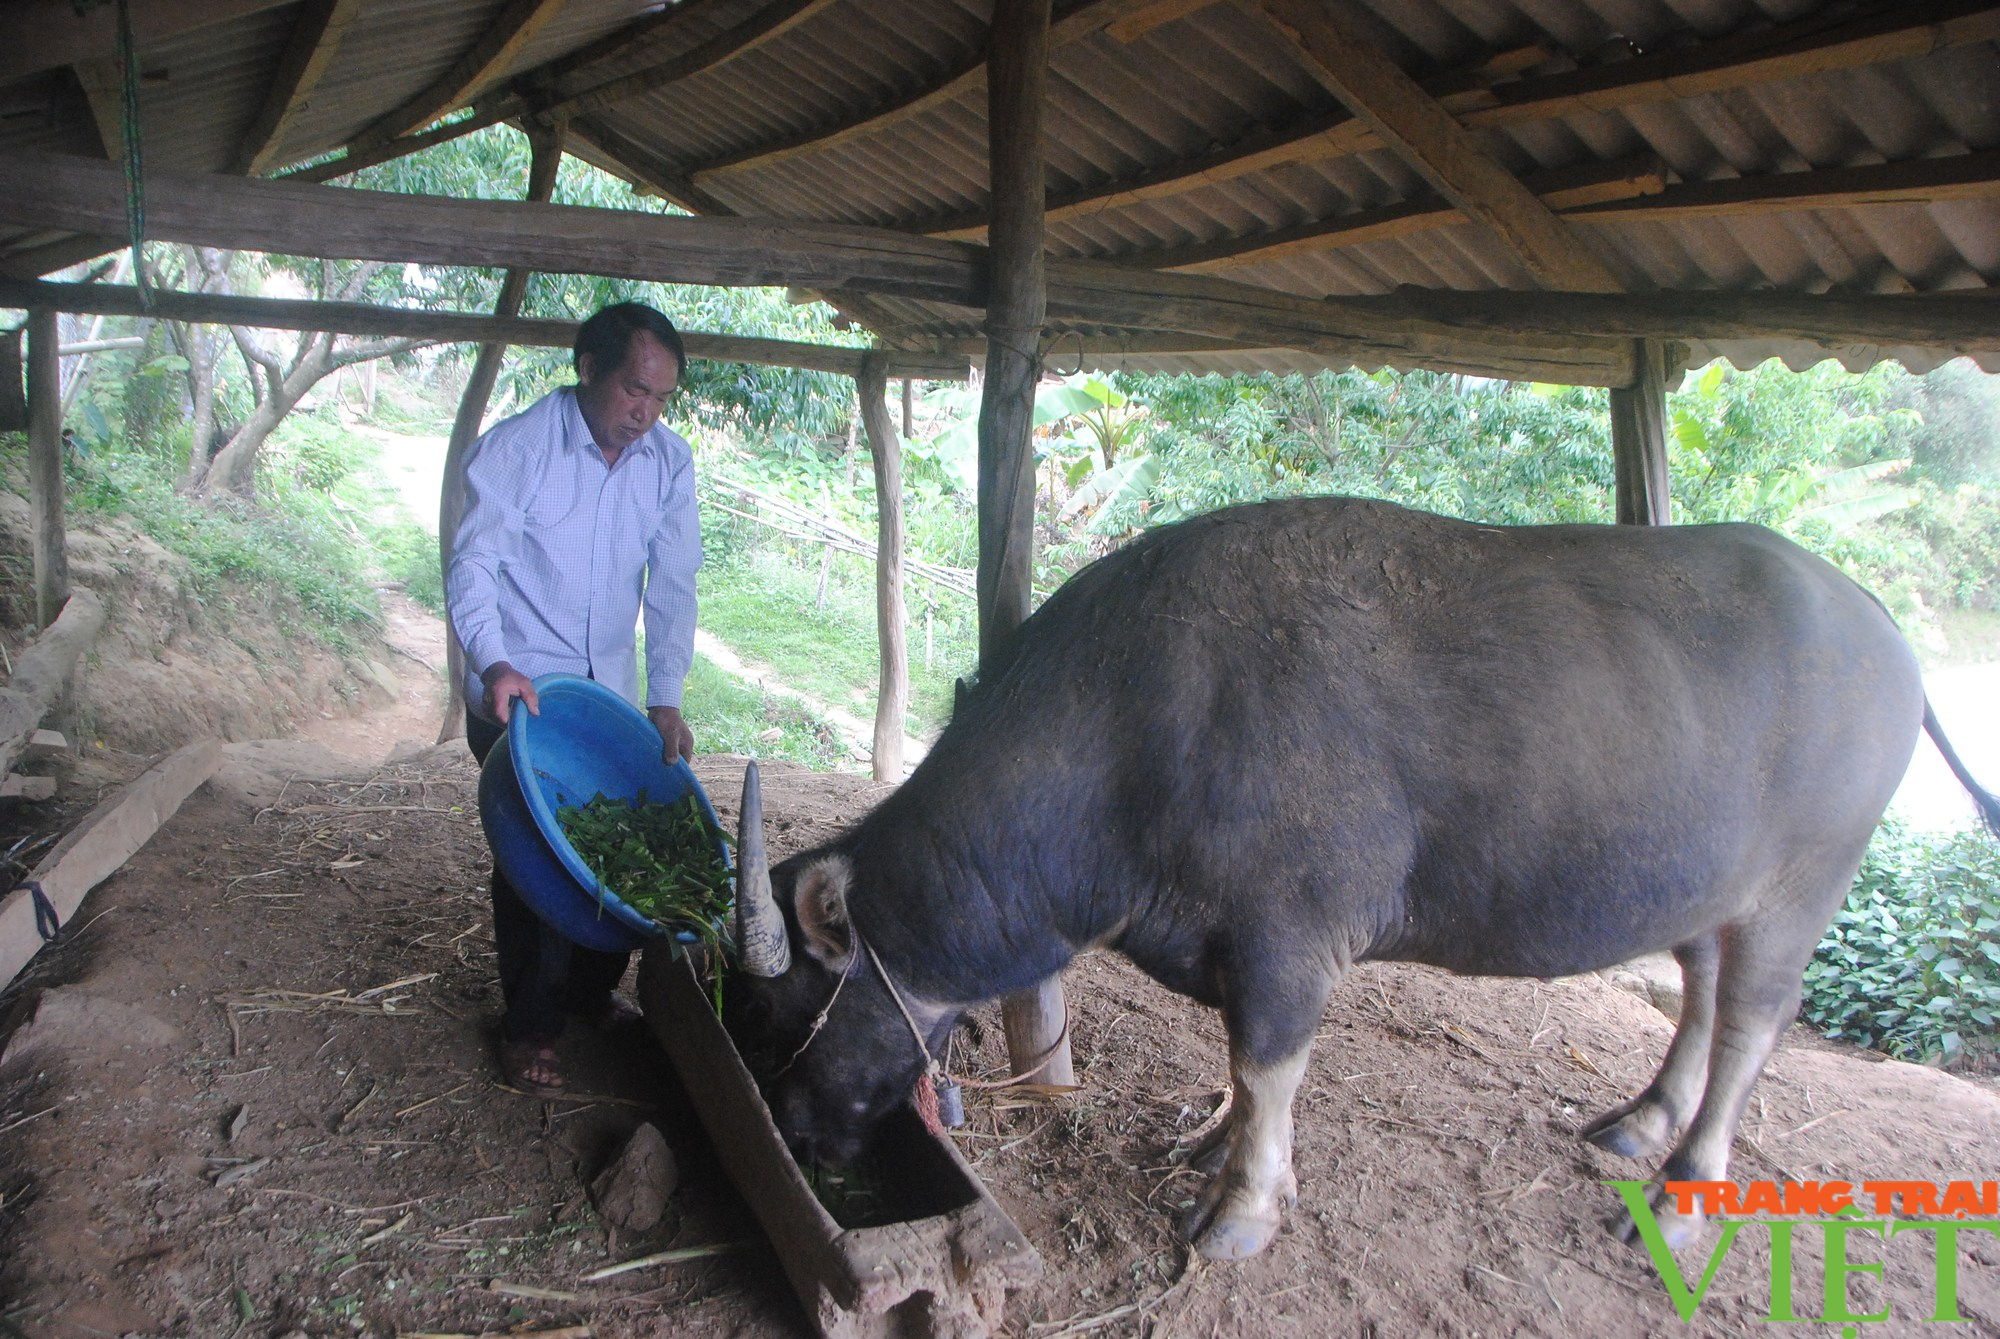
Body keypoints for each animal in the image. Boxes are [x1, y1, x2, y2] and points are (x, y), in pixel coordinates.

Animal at [716, 497, 1984, 1263]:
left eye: (776, 1007)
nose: (791, 1126)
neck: (1141, 723)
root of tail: (1878, 626)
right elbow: (1241, 1073)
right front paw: (1210, 1150)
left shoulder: (1288, 943)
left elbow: (1265, 1064)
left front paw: (1237, 1209)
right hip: (1707, 893)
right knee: (1708, 997)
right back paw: (1639, 1123)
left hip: (1802, 888)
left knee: (1754, 1019)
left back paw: (1686, 1184)